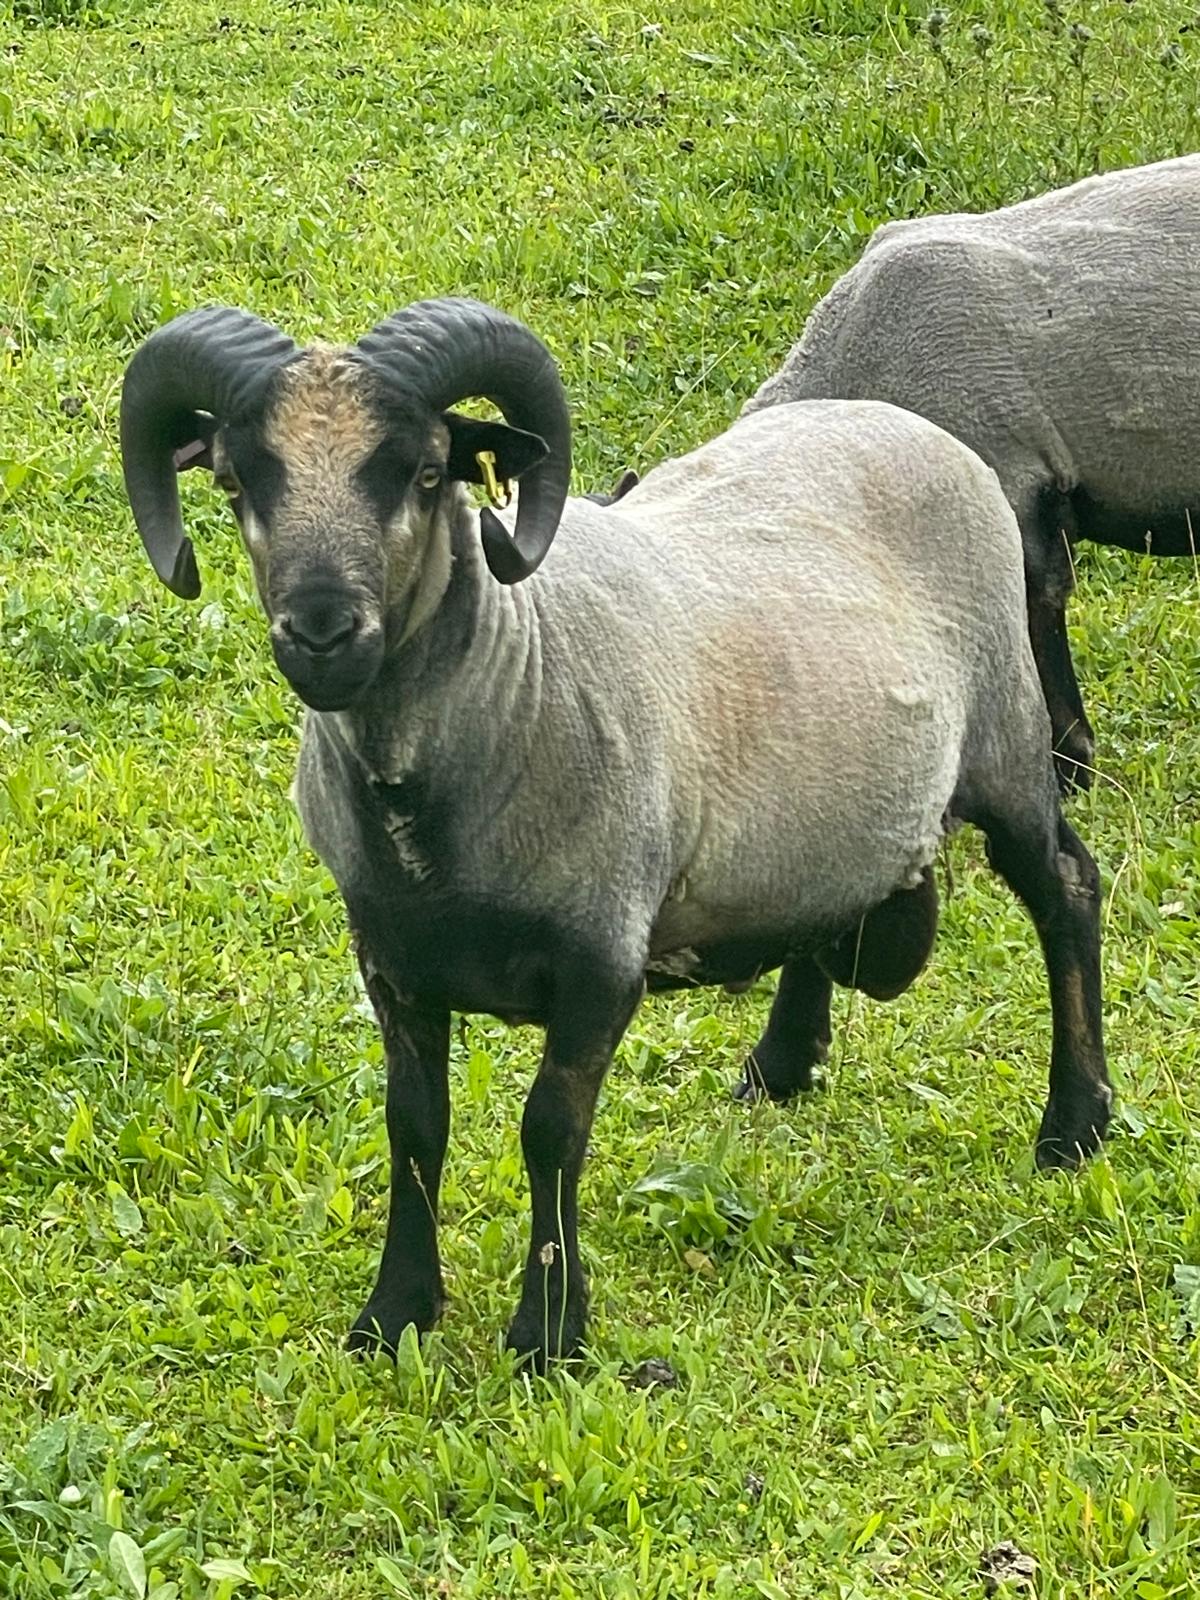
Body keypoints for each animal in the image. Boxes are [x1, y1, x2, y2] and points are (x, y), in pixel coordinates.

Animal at [120, 296, 1111, 1364]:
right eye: (236, 480)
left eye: (423, 473)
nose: (320, 631)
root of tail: (906, 424)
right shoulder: (392, 963)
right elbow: (414, 1129)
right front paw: (393, 1316)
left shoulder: (600, 957)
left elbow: (549, 1132)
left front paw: (549, 1332)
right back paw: (780, 1067)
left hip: (1006, 745)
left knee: (1068, 889)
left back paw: (1075, 1125)